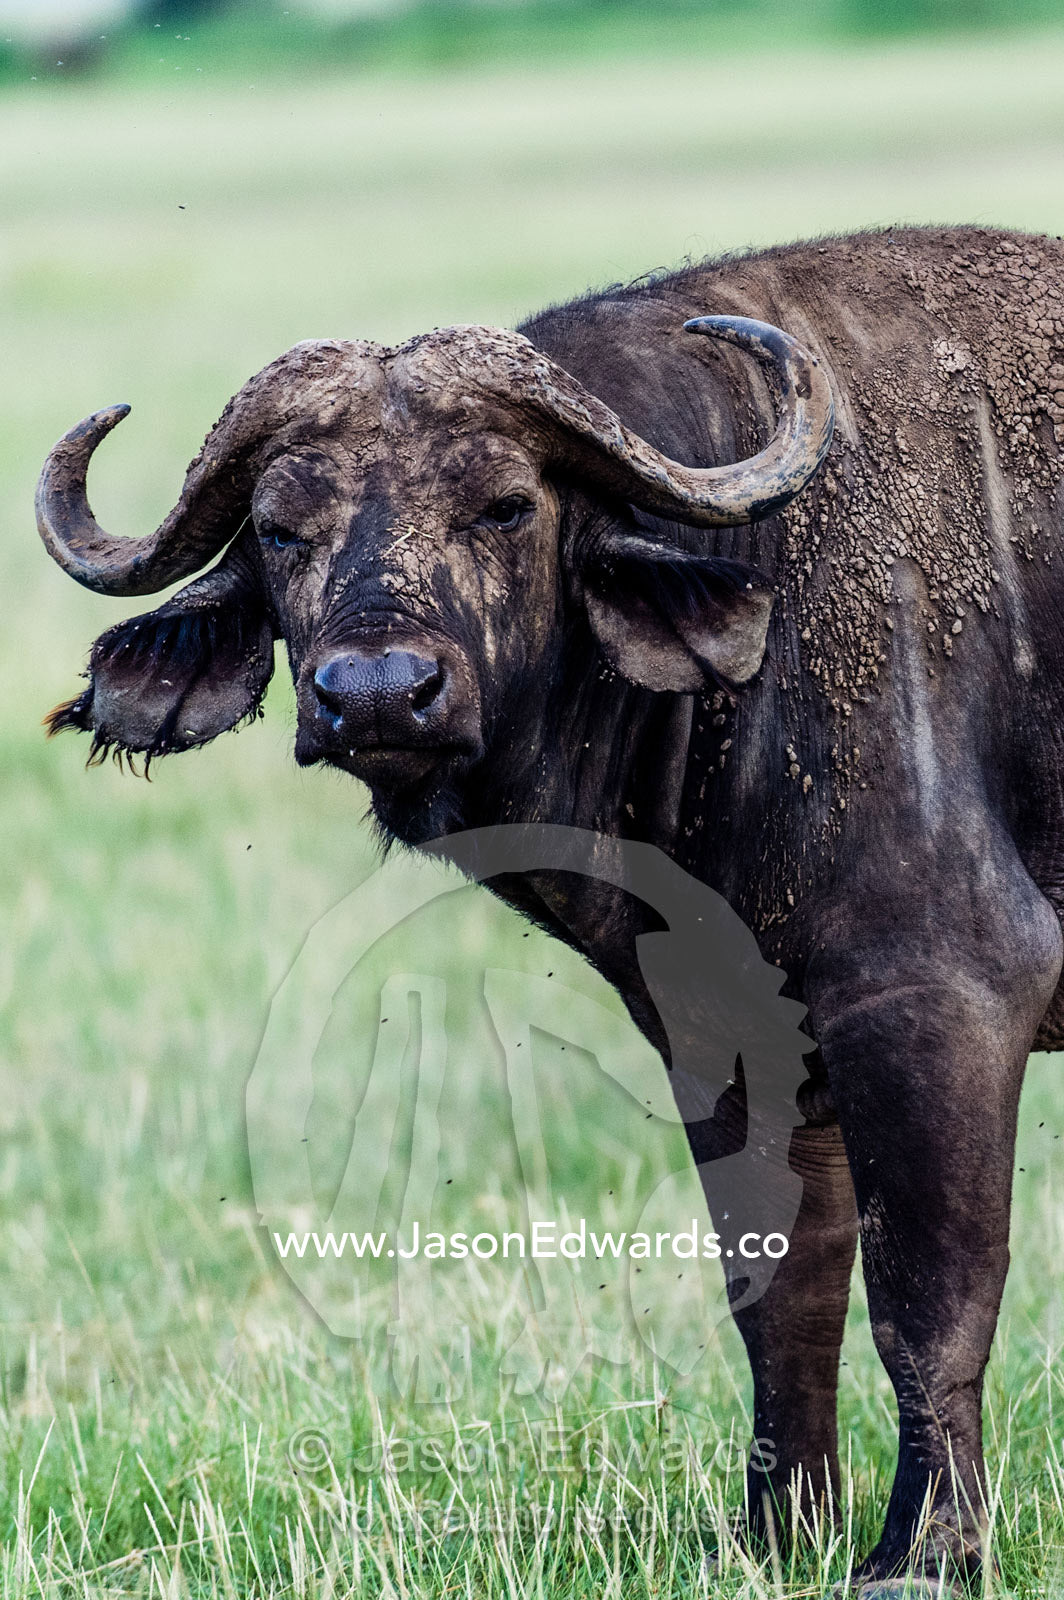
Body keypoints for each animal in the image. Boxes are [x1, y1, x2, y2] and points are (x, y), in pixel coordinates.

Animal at [37, 225, 1064, 1593]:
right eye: (279, 529)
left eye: (507, 506)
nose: (377, 693)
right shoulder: (722, 1030)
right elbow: (778, 1285)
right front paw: (775, 1527)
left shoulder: (936, 993)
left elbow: (928, 1295)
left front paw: (925, 1551)